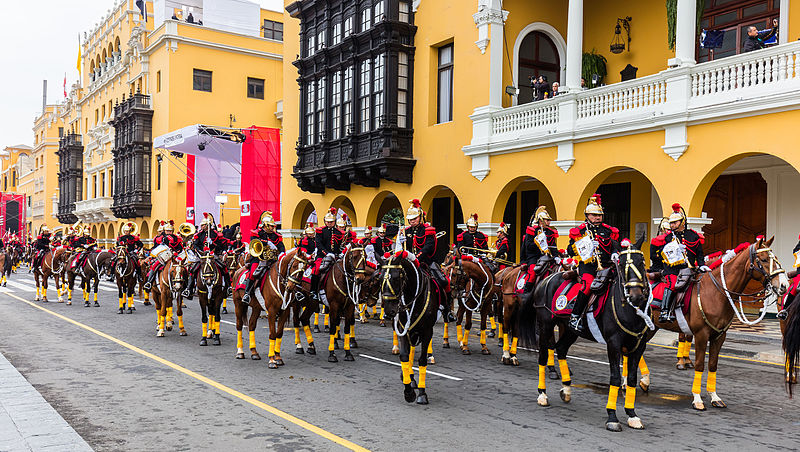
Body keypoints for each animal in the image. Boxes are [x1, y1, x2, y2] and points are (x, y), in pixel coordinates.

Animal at [382, 252, 444, 404]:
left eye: (396, 278)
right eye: (381, 278)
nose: (389, 311)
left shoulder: (427, 331)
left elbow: (421, 360)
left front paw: (422, 393)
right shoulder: (402, 329)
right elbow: (404, 356)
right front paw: (408, 391)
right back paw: (409, 378)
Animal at [520, 237, 656, 430]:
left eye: (641, 262)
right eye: (621, 264)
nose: (636, 295)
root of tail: (545, 280)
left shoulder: (638, 346)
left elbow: (631, 379)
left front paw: (632, 415)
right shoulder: (613, 344)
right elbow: (615, 378)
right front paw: (612, 417)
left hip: (570, 330)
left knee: (561, 349)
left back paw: (567, 389)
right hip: (546, 325)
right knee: (544, 356)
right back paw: (542, 395)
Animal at [652, 238, 792, 412]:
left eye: (776, 258)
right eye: (765, 259)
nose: (784, 285)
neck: (716, 293)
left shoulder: (719, 336)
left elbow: (712, 365)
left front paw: (715, 397)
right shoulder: (701, 335)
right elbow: (699, 365)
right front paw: (697, 399)